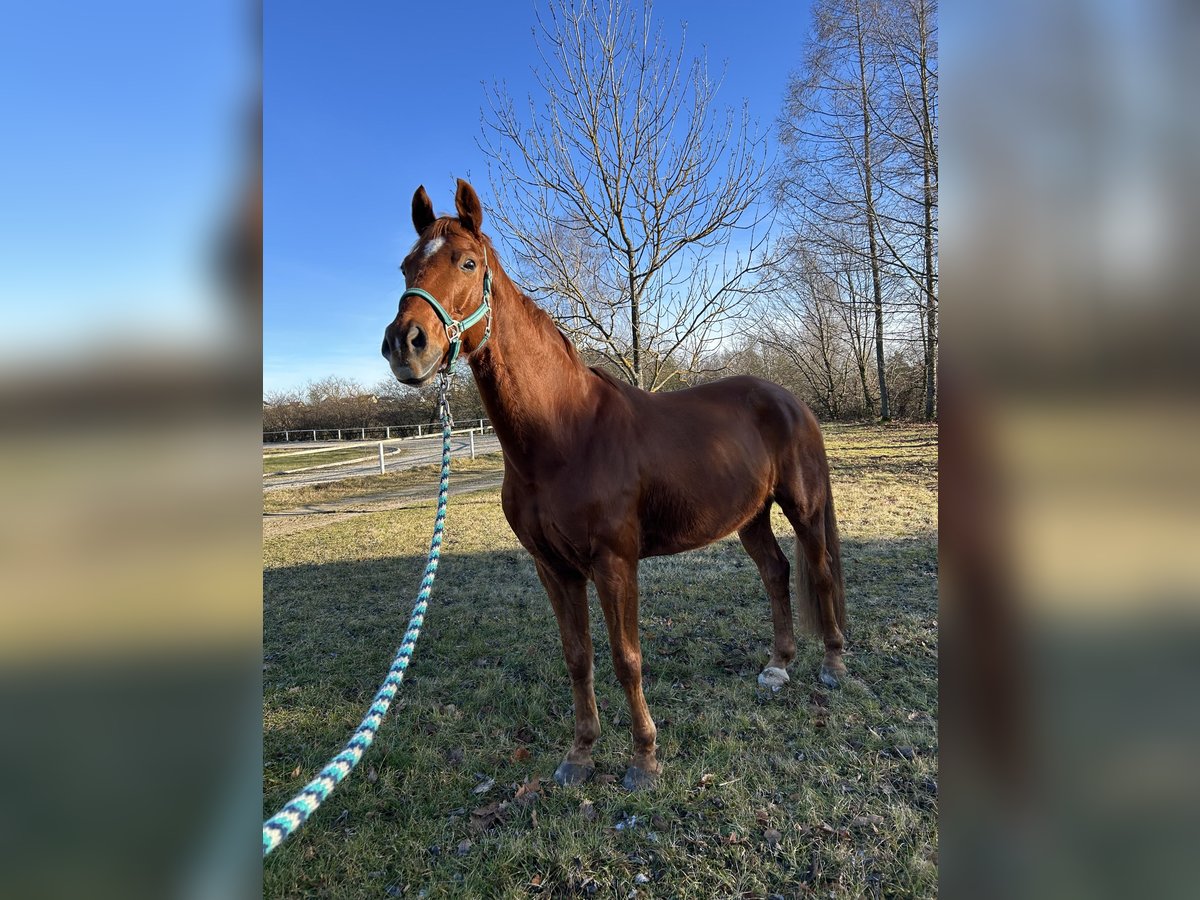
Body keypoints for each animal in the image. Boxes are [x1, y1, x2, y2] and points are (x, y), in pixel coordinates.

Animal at [381, 181, 844, 787]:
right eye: (406, 265)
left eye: (467, 262)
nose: (405, 344)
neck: (564, 433)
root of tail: (792, 401)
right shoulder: (553, 568)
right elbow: (578, 657)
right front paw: (580, 754)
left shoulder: (614, 561)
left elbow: (627, 657)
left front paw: (644, 759)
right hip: (751, 516)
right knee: (776, 572)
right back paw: (777, 667)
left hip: (803, 507)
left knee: (819, 570)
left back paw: (832, 664)